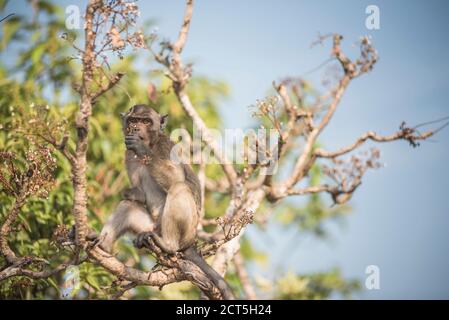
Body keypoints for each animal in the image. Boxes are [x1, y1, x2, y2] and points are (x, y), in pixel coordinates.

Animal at [99, 104, 234, 298]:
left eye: (146, 122)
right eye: (133, 120)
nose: (136, 129)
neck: (152, 143)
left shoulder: (166, 146)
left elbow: (177, 177)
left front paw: (141, 148)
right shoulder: (128, 155)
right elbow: (138, 195)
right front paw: (129, 193)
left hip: (186, 232)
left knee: (179, 187)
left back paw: (168, 245)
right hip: (150, 226)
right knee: (128, 207)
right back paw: (102, 245)